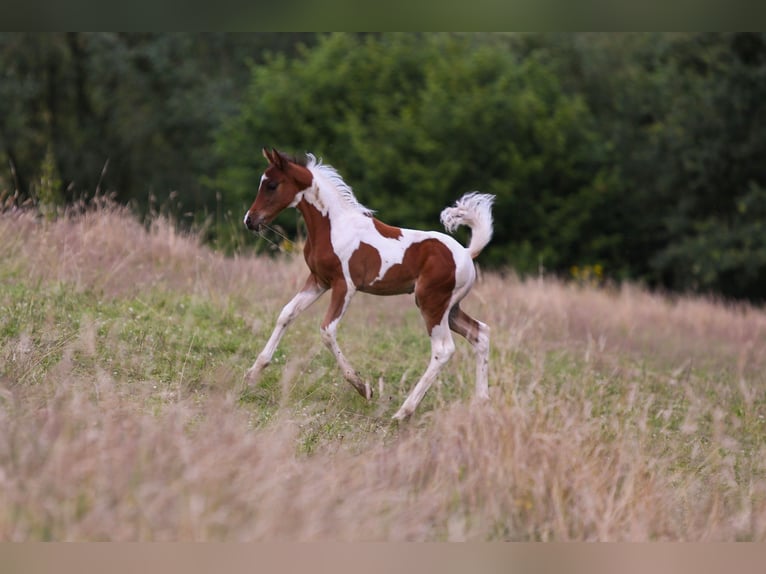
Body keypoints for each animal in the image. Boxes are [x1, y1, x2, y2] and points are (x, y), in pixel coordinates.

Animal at [246, 148, 498, 420]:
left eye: (272, 185)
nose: (250, 220)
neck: (334, 226)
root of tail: (467, 253)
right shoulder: (318, 280)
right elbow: (286, 314)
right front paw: (253, 372)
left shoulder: (344, 286)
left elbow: (327, 331)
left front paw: (362, 387)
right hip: (449, 309)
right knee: (480, 333)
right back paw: (481, 402)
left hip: (431, 304)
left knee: (443, 350)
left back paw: (403, 412)